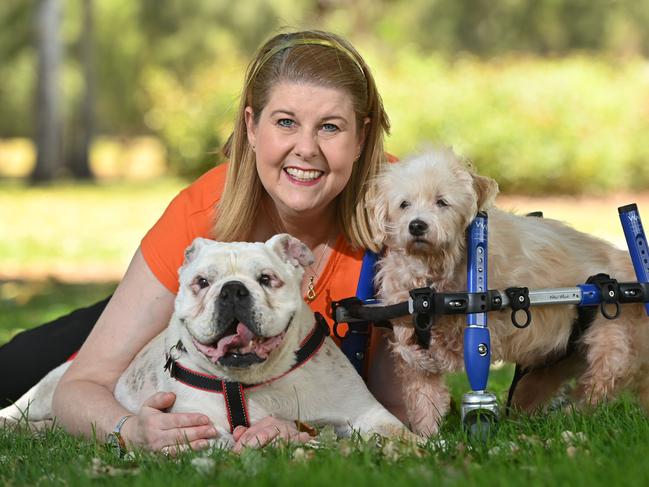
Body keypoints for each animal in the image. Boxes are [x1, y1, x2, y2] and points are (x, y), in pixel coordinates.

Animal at [0, 235, 404, 446]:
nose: (233, 289)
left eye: (266, 279)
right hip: (45, 391)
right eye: (203, 282)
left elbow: (398, 432)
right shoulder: (197, 426)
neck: (253, 382)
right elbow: (226, 439)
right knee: (19, 410)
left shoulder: (367, 413)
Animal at [372, 148, 648, 434]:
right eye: (404, 204)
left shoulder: (478, 331)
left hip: (612, 347)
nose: (416, 226)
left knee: (599, 387)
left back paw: (567, 418)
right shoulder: (416, 360)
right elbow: (424, 401)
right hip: (552, 365)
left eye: (441, 202)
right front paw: (429, 439)